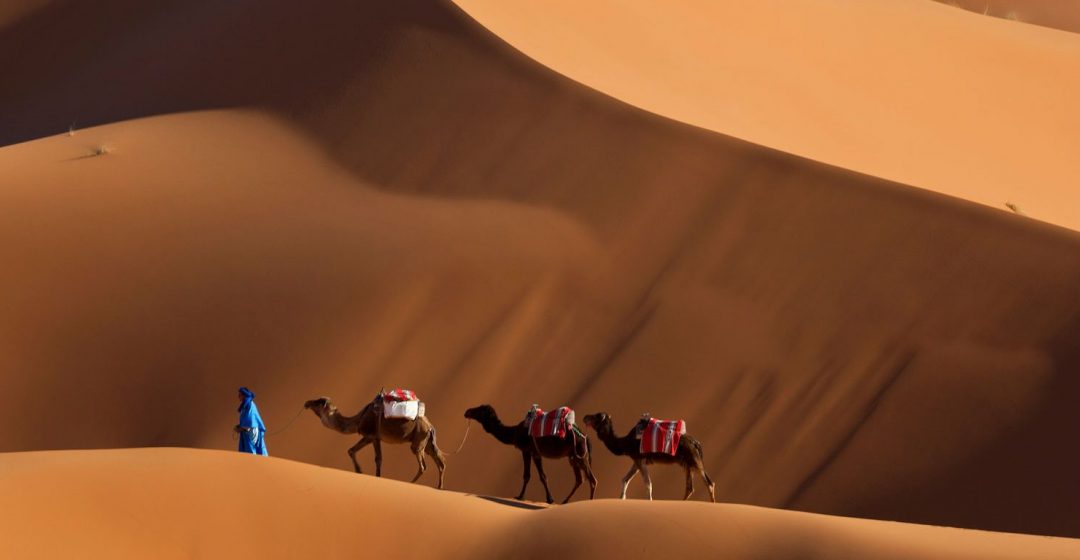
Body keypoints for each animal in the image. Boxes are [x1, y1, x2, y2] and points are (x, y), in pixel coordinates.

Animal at [302, 397, 444, 487]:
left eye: (319, 402)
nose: (307, 402)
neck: (358, 419)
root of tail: (431, 426)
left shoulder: (373, 436)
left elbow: (378, 459)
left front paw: (374, 476)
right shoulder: (370, 437)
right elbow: (351, 450)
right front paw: (359, 471)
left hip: (419, 440)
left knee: (423, 465)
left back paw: (411, 483)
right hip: (427, 442)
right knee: (439, 461)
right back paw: (439, 487)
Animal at [464, 403, 600, 504]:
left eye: (479, 410)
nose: (467, 411)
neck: (514, 433)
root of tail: (585, 437)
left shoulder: (528, 451)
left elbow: (532, 476)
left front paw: (521, 496)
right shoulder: (533, 453)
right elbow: (538, 476)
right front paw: (548, 499)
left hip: (581, 455)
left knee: (592, 480)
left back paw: (590, 502)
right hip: (573, 457)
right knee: (579, 479)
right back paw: (565, 501)